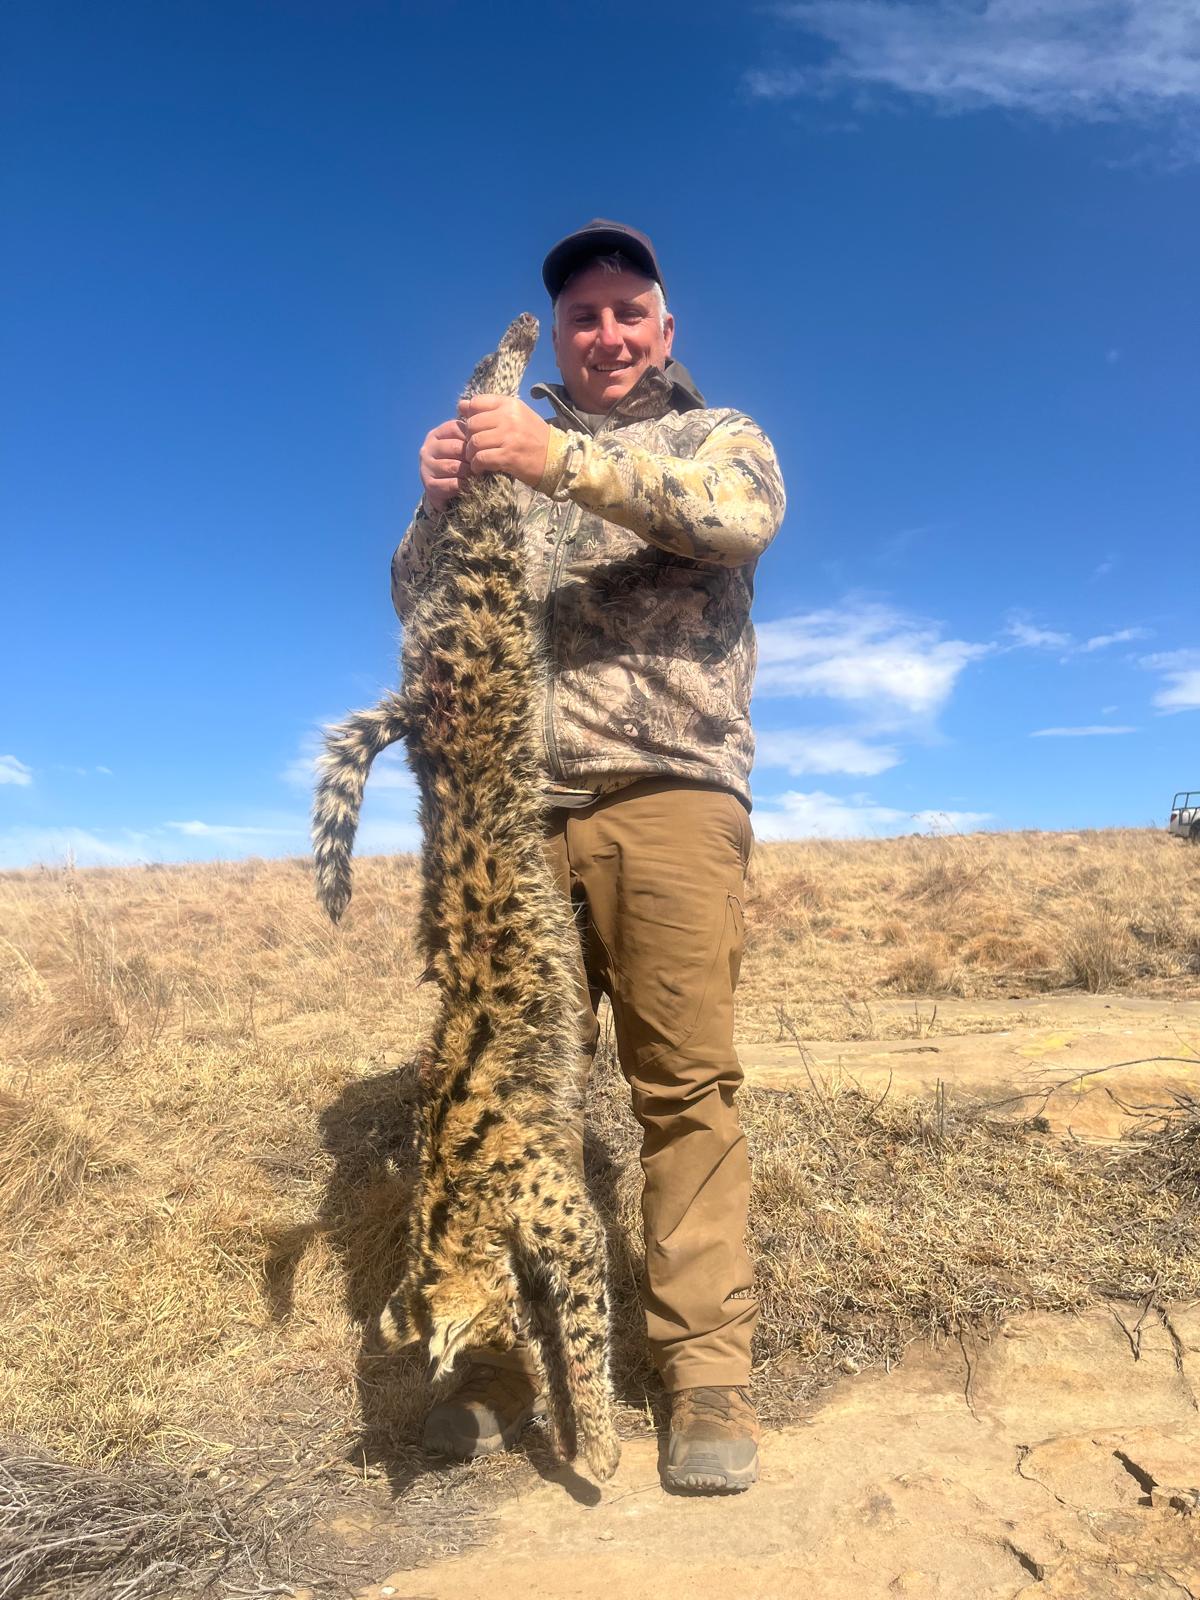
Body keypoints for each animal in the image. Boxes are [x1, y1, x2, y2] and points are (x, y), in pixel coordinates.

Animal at [311, 313, 619, 1481]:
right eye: (483, 1337)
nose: (491, 1345)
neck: (453, 1205)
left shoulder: (568, 1221)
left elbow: (587, 1333)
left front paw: (599, 1443)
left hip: (489, 606)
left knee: (481, 455)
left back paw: (514, 367)